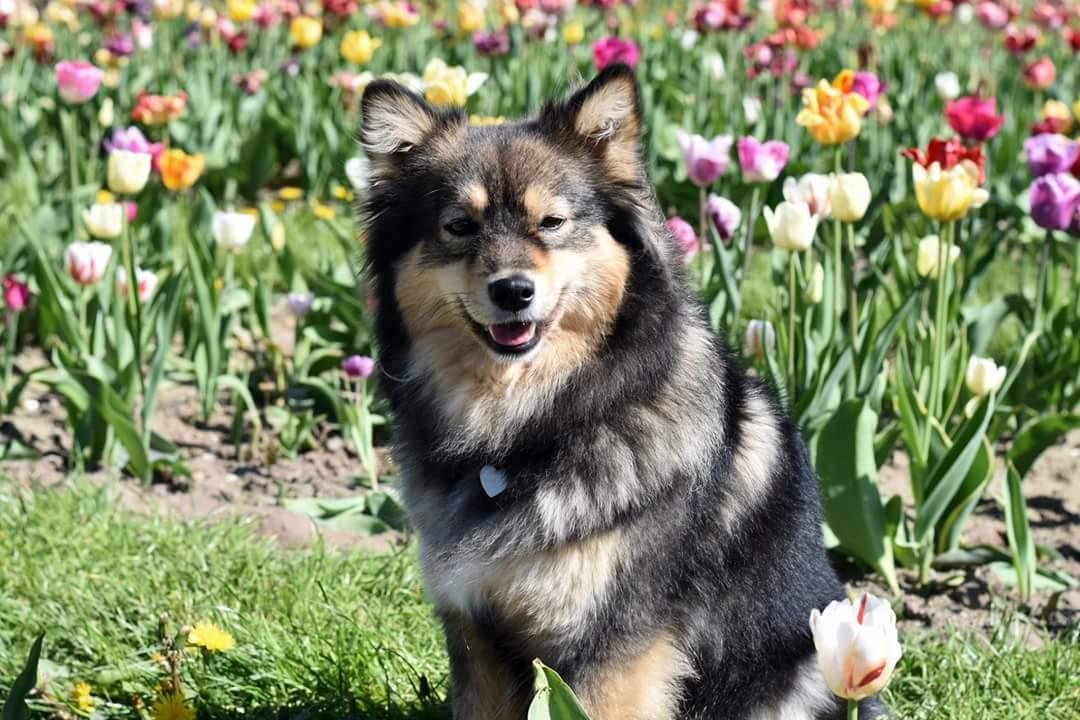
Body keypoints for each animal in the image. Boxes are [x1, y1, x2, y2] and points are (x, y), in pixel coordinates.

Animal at [362, 64, 885, 716]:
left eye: (552, 223)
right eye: (459, 227)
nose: (513, 291)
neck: (524, 431)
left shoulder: (615, 647)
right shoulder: (475, 632)